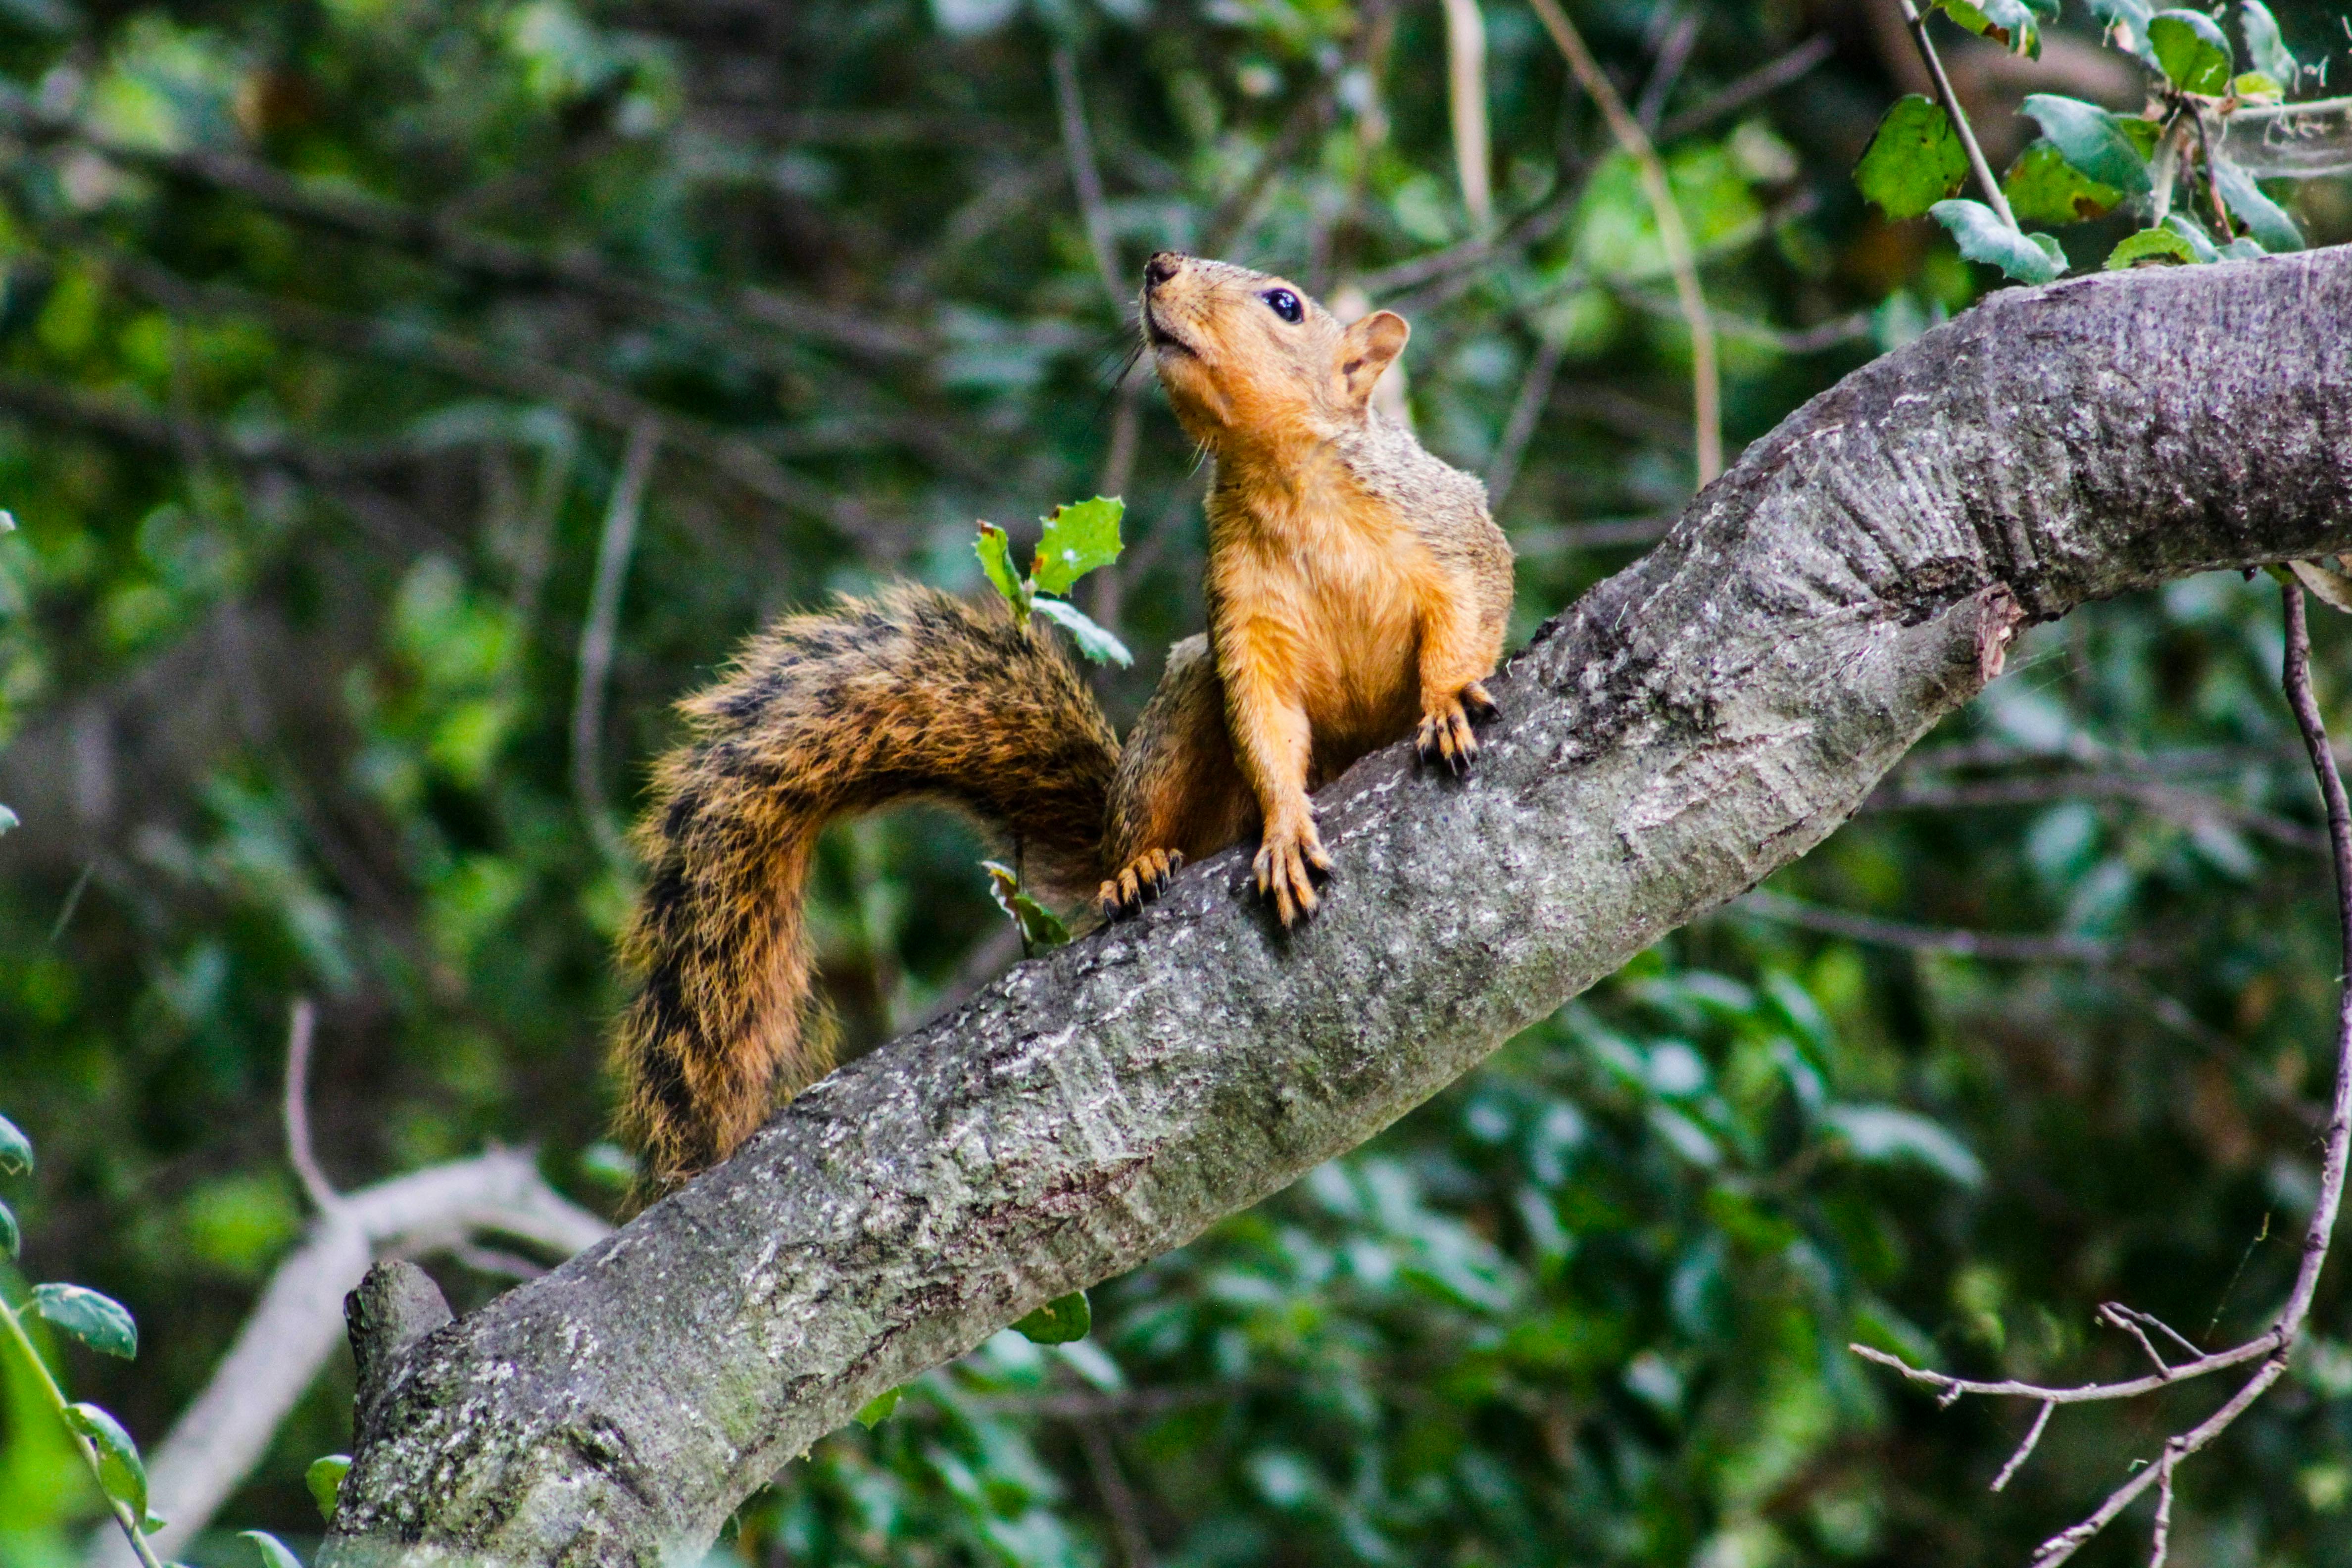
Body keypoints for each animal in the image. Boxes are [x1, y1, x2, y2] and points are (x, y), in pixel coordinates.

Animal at [610, 253, 1514, 1183]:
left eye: (1286, 304)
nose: (1159, 265)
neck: (1287, 482)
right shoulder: (1243, 620)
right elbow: (1264, 723)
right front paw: (1286, 827)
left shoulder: (1447, 527)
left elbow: (1469, 612)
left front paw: (1448, 702)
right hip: (1183, 710)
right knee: (1154, 806)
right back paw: (1136, 866)